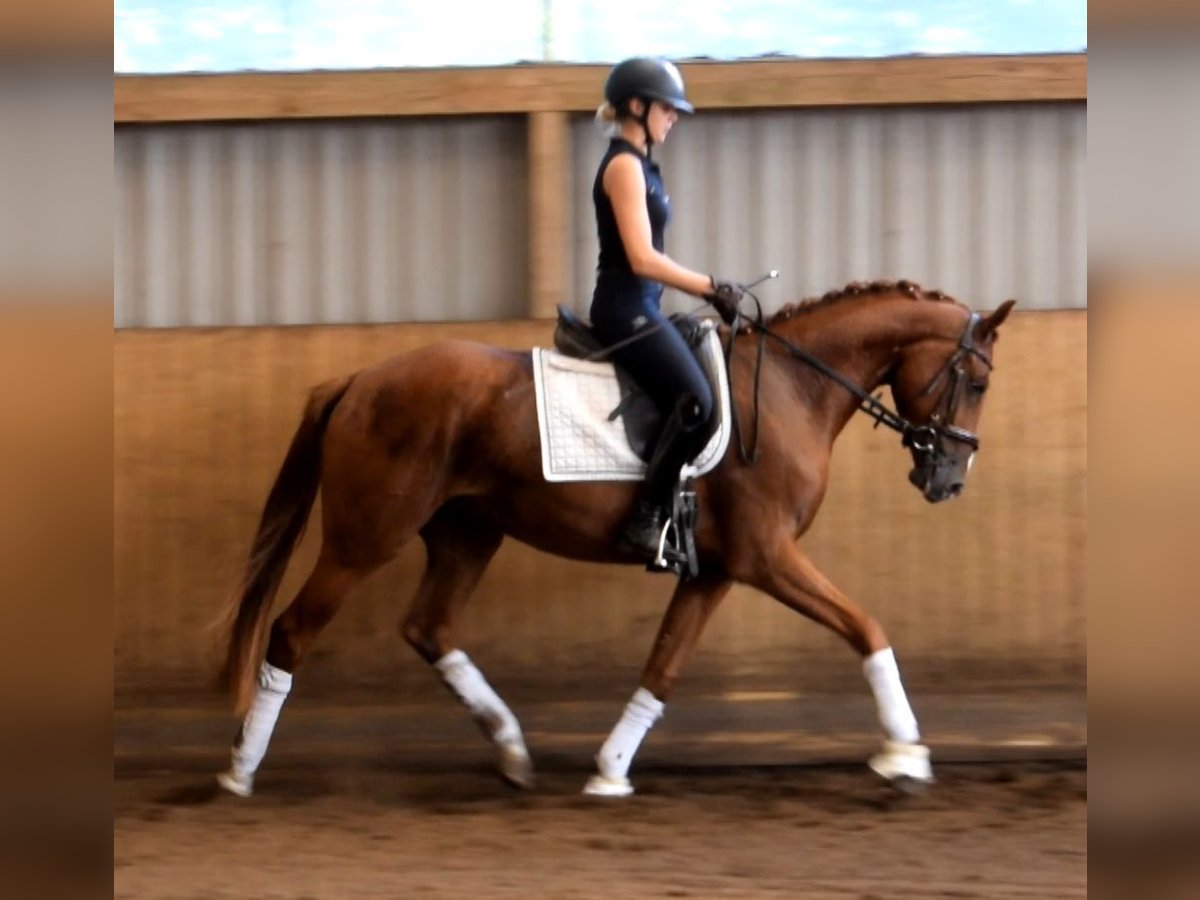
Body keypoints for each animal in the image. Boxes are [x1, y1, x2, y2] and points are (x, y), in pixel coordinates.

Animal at [213, 280, 1012, 796]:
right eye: (974, 381)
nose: (949, 478)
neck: (791, 388)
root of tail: (356, 380)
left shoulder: (715, 569)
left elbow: (663, 666)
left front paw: (609, 770)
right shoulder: (767, 557)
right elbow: (866, 627)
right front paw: (905, 754)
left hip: (470, 531)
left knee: (428, 626)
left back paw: (511, 748)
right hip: (366, 538)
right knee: (292, 630)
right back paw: (241, 769)